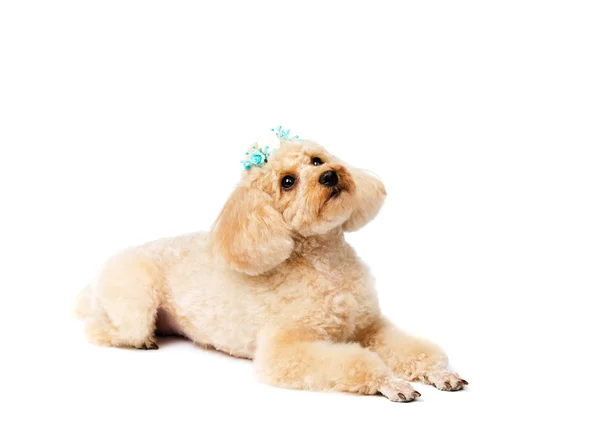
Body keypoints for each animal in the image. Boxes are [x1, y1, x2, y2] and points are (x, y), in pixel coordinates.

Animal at [75, 137, 466, 400]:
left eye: (317, 160)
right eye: (287, 182)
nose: (330, 175)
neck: (324, 264)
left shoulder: (370, 326)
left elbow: (412, 349)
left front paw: (438, 374)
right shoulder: (286, 349)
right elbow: (355, 363)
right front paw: (389, 382)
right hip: (134, 302)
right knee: (103, 329)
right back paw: (137, 339)